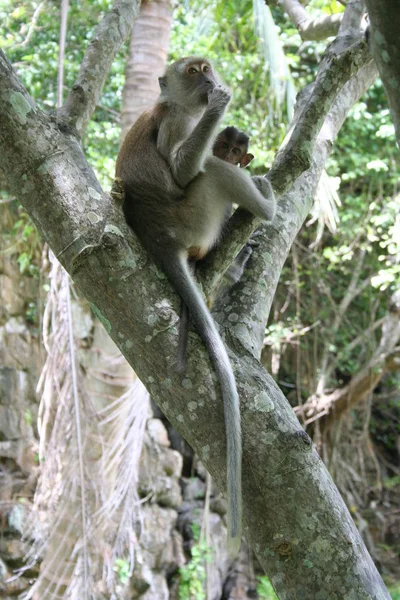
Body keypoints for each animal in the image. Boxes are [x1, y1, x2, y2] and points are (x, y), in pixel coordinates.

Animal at [116, 57, 276, 556]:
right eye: (194, 70)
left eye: (207, 68)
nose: (209, 79)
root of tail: (161, 238)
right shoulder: (177, 124)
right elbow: (185, 169)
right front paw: (221, 105)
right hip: (194, 218)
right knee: (211, 173)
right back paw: (266, 206)